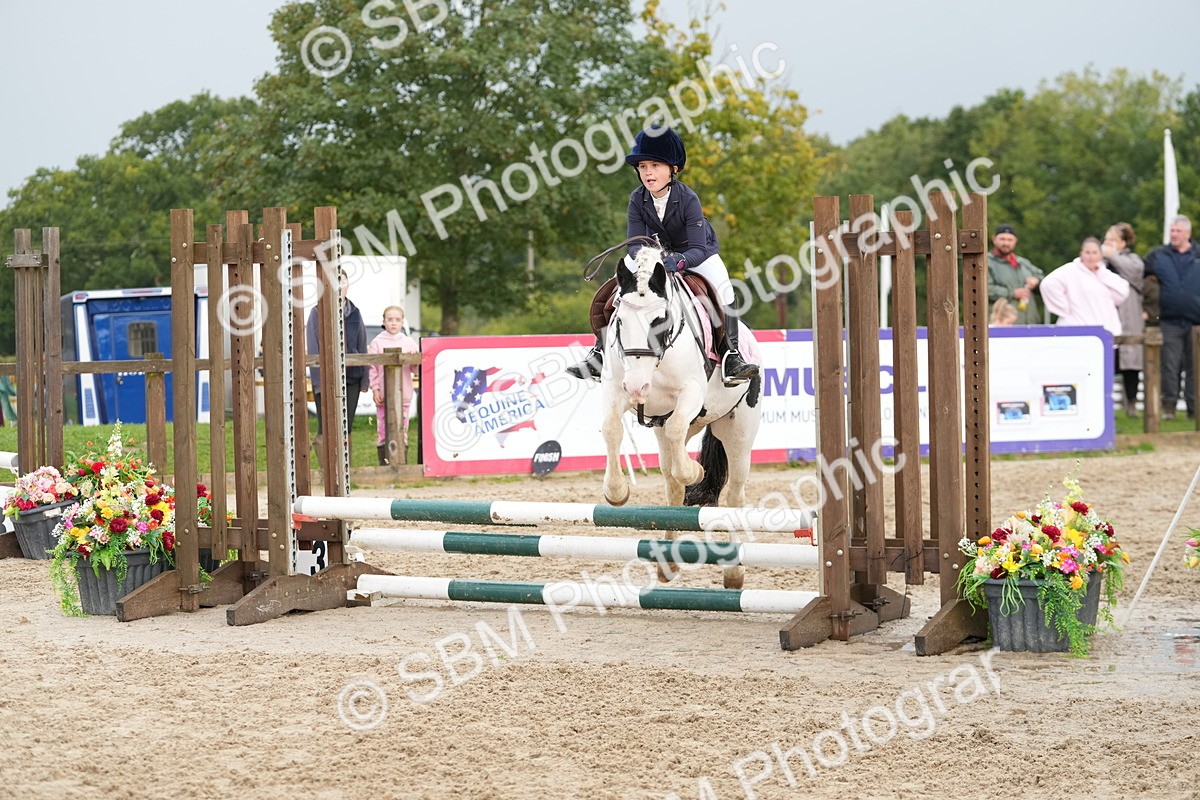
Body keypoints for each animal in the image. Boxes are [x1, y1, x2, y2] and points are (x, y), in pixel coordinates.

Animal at [591, 238, 763, 589]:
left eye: (661, 320)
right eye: (619, 320)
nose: (638, 387)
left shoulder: (690, 393)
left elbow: (680, 446)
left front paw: (695, 472)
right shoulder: (616, 389)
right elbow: (611, 428)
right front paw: (616, 492)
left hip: (738, 431)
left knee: (734, 495)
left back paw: (734, 571)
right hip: (674, 428)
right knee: (672, 484)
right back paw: (667, 562)